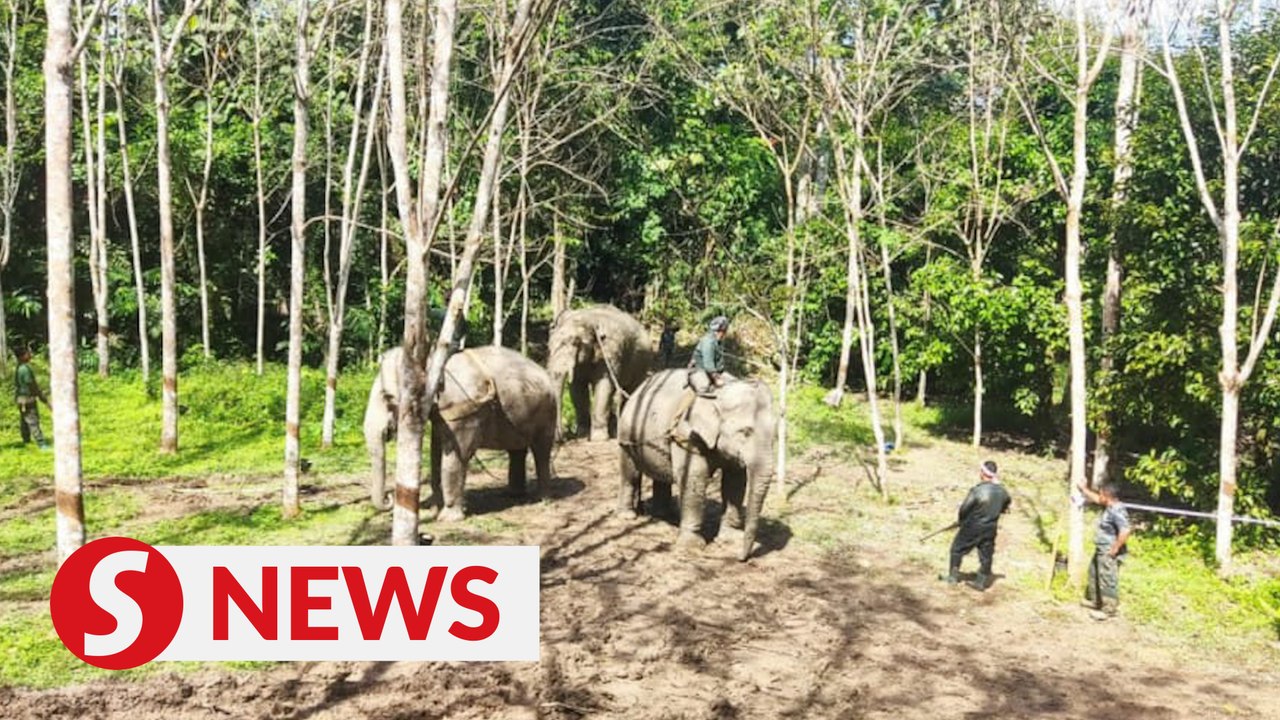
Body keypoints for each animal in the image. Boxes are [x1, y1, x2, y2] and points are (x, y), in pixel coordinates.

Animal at [364, 345, 557, 521]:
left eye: (387, 398)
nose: (388, 498)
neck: (432, 358)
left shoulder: (464, 409)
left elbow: (457, 456)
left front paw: (447, 518)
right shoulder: (441, 412)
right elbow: (436, 451)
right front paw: (435, 509)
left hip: (547, 413)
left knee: (541, 451)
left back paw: (543, 499)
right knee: (517, 450)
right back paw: (513, 494)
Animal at [547, 304, 656, 441]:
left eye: (576, 342)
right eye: (549, 345)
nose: (561, 439)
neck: (588, 319)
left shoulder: (611, 352)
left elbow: (604, 385)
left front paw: (599, 438)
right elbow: (577, 389)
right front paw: (582, 435)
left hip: (642, 362)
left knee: (631, 390)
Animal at [616, 368, 777, 561]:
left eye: (775, 433)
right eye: (745, 432)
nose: (741, 558)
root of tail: (637, 389)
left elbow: (735, 482)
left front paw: (730, 539)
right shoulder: (686, 434)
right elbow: (693, 477)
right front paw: (691, 546)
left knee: (662, 475)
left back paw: (665, 515)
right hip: (626, 434)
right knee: (630, 473)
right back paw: (627, 516)